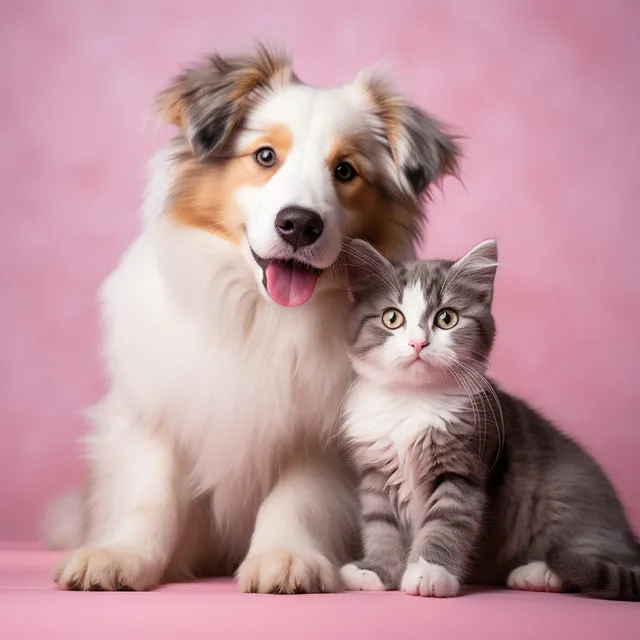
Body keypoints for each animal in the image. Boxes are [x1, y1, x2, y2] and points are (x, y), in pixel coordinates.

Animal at [46, 45, 460, 592]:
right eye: (265, 156)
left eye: (345, 171)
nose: (300, 224)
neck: (261, 314)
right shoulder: (154, 408)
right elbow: (149, 491)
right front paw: (120, 555)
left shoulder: (320, 438)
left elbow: (296, 499)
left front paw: (285, 557)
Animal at [338, 239, 636, 600]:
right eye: (392, 318)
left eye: (446, 318)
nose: (418, 343)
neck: (412, 401)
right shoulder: (377, 473)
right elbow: (380, 523)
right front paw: (378, 571)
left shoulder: (463, 467)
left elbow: (445, 524)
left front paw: (429, 573)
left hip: (568, 498)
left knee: (594, 558)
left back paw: (540, 572)